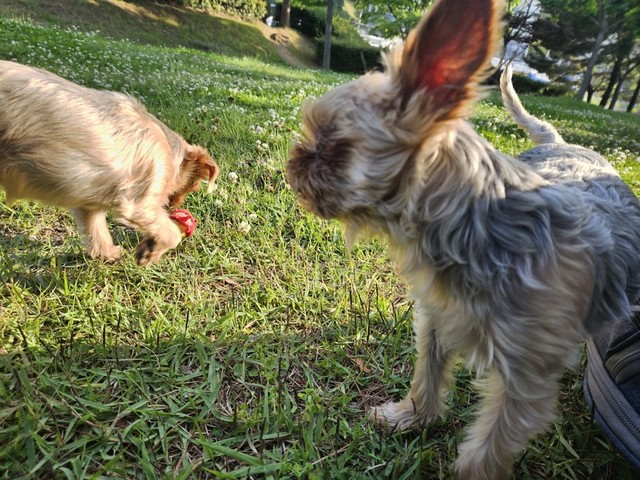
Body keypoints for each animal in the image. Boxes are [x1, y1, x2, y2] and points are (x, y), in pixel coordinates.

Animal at [0, 60, 219, 265]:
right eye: (195, 185)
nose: (176, 205)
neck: (168, 148)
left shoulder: (89, 204)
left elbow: (96, 228)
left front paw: (108, 254)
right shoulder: (139, 200)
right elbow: (171, 233)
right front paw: (150, 251)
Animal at [286, 0, 640, 478]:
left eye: (331, 143)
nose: (293, 164)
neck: (476, 229)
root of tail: (563, 141)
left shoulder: (525, 381)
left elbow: (486, 449)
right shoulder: (437, 316)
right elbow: (428, 371)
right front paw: (411, 416)